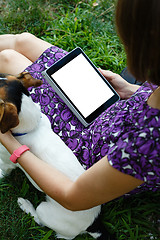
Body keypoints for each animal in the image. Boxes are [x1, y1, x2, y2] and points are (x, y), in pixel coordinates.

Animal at [0, 72, 110, 239]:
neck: (33, 127)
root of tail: (93, 224)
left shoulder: (7, 161)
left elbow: (3, 170)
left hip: (44, 210)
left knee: (40, 221)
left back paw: (26, 205)